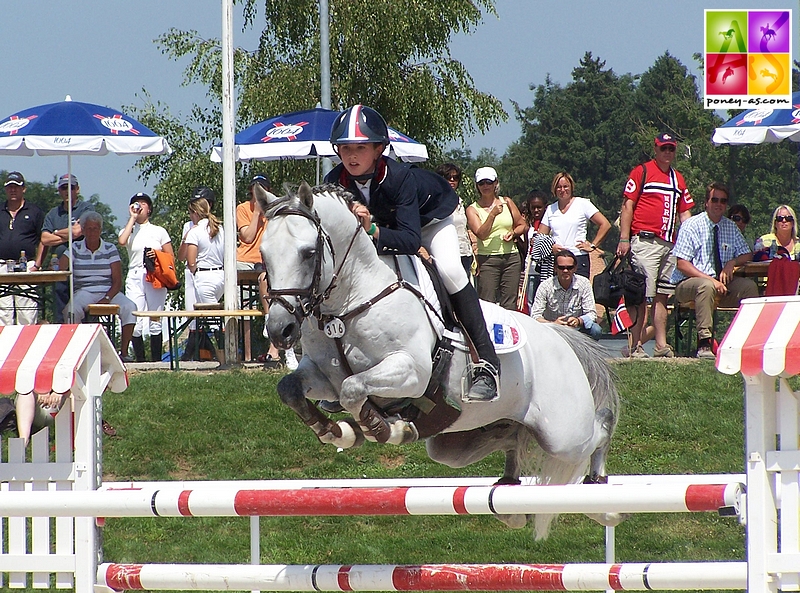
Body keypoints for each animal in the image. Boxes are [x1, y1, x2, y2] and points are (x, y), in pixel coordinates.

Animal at [256, 184, 620, 536]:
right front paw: (336, 430)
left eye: (309, 253)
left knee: (598, 430)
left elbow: (353, 388)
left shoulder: (412, 372)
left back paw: (602, 496)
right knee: (510, 439)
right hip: (459, 444)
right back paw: (512, 504)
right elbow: (292, 388)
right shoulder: (322, 376)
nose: (280, 330)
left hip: (563, 435)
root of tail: (558, 335)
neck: (350, 300)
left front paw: (382, 429)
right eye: (264, 255)